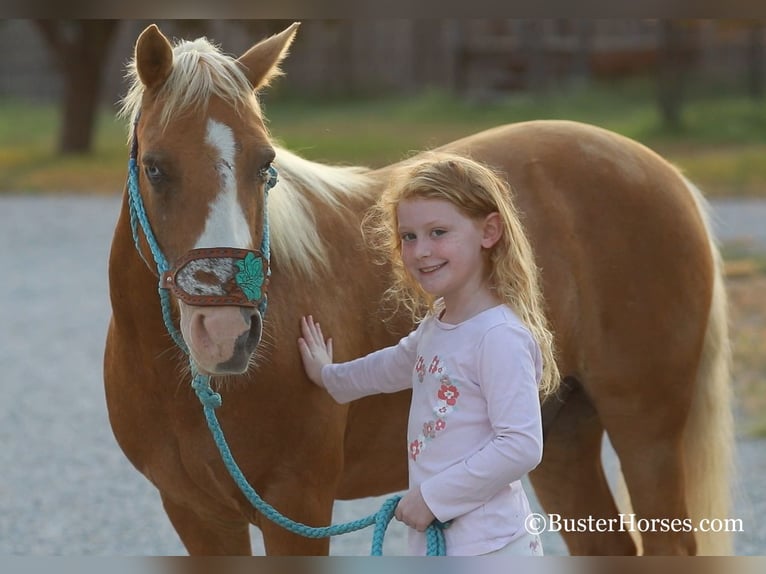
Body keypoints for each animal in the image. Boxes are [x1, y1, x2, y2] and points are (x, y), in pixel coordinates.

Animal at [105, 23, 736, 560]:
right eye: (156, 167)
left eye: (265, 164)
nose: (227, 333)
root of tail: (664, 174)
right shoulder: (198, 517)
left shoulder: (297, 509)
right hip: (561, 440)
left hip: (646, 430)